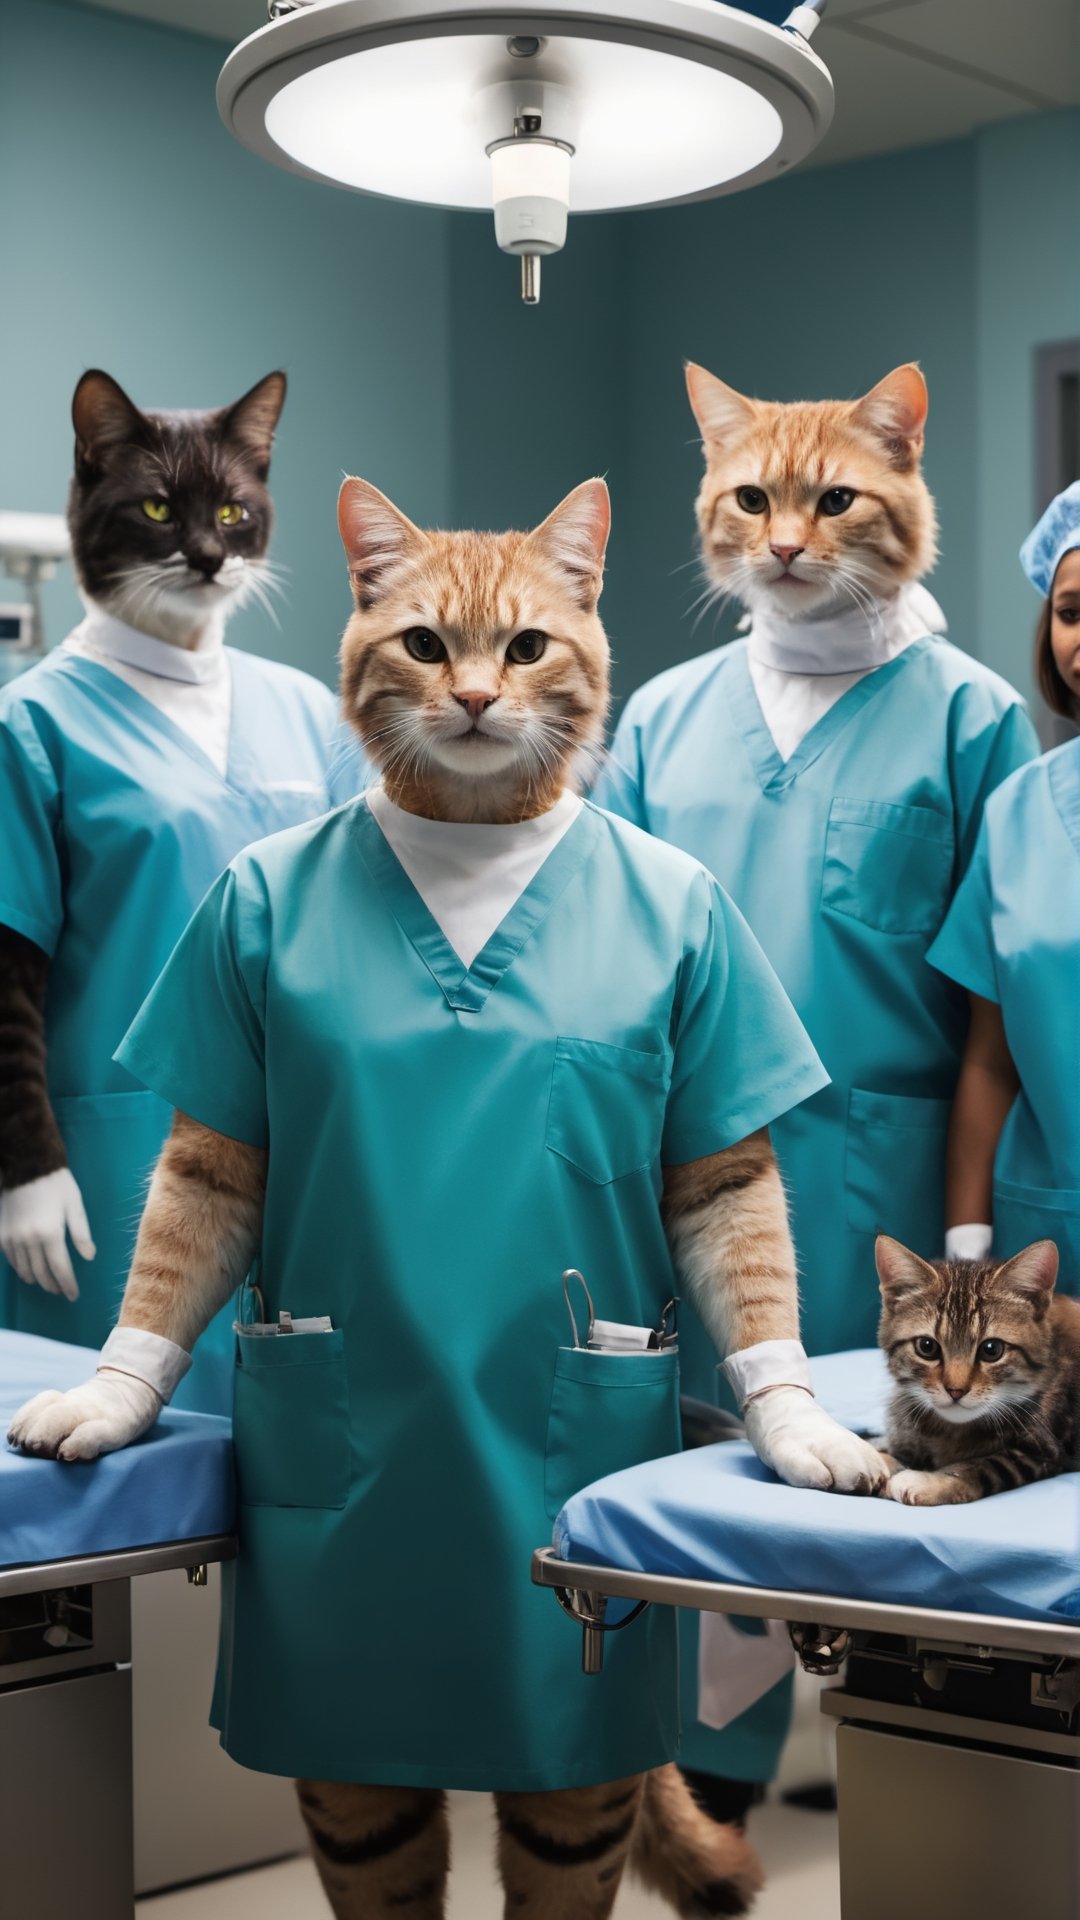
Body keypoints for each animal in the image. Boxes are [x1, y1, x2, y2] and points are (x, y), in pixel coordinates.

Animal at [876, 1236, 1076, 1505]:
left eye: (992, 1350)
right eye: (927, 1347)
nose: (955, 1390)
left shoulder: (1046, 1451)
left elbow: (985, 1465)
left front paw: (927, 1481)